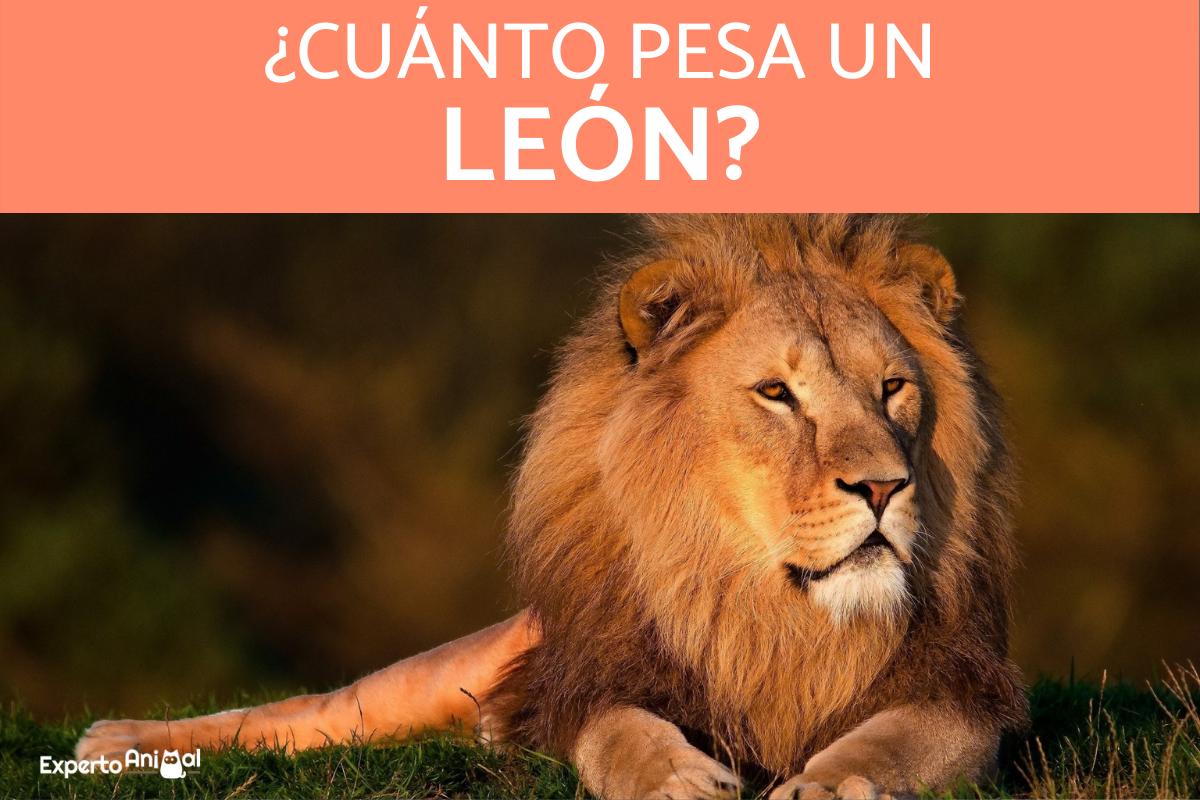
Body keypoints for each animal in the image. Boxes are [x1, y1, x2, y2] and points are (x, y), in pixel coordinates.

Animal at [76, 215, 1026, 799]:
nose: (883, 487)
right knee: (310, 713)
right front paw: (676, 778)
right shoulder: (591, 678)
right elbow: (619, 733)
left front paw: (830, 781)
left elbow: (894, 739)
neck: (767, 609)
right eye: (776, 394)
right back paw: (114, 742)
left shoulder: (961, 693)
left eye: (893, 388)